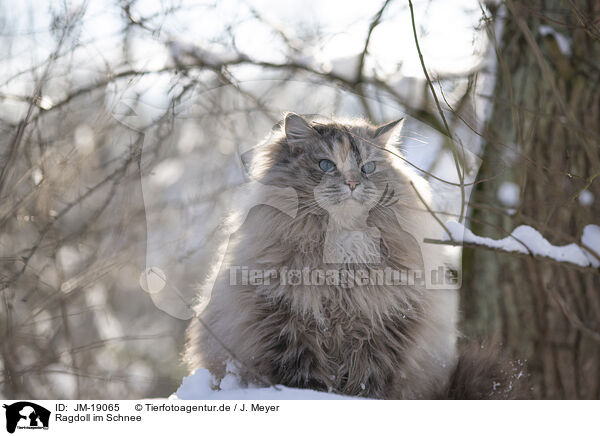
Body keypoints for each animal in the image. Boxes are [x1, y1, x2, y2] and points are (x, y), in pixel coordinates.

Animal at [185, 112, 524, 398]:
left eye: (367, 168)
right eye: (326, 165)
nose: (352, 183)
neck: (344, 247)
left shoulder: (382, 322)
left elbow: (368, 378)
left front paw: (356, 399)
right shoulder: (288, 317)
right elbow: (302, 371)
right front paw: (312, 395)